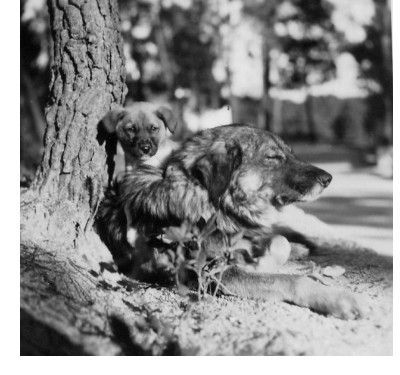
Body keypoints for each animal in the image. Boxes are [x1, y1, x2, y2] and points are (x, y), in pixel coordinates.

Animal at [96, 123, 366, 320]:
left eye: (290, 153)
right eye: (273, 157)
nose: (328, 178)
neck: (211, 203)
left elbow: (279, 242)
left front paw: (264, 256)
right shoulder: (212, 275)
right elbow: (290, 279)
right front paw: (335, 299)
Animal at [101, 103, 178, 247]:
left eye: (154, 128)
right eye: (131, 129)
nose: (145, 148)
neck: (146, 164)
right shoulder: (129, 193)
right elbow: (130, 219)